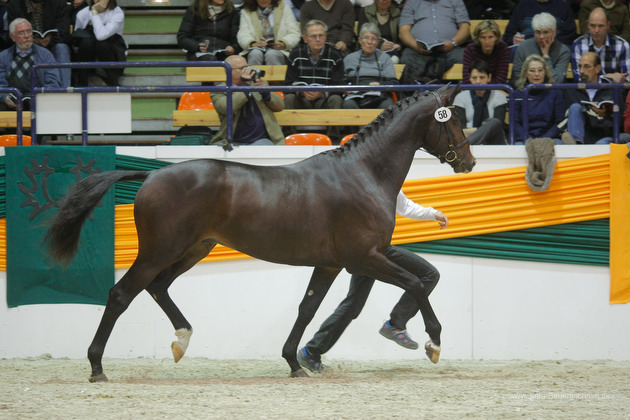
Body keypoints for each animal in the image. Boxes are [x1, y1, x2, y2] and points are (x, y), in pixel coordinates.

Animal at [45, 84, 474, 380]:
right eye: (453, 119)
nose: (468, 162)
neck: (364, 174)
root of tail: (151, 175)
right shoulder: (363, 259)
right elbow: (415, 285)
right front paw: (434, 343)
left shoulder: (332, 264)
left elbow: (308, 308)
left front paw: (294, 362)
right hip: (160, 249)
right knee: (121, 294)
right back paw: (97, 366)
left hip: (193, 248)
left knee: (158, 287)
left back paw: (181, 340)